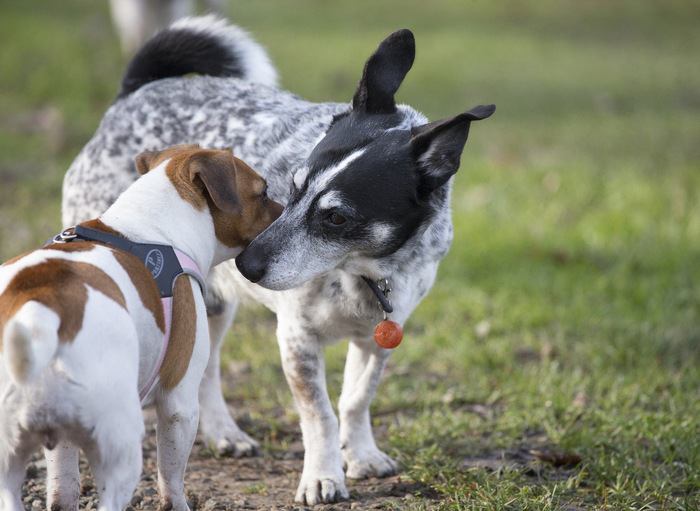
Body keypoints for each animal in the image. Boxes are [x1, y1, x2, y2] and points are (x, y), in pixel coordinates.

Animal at [0, 145, 282, 511]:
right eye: (262, 192)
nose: (288, 213)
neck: (150, 227)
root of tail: (42, 309)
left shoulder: (61, 443)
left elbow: (63, 488)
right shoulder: (179, 402)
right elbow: (171, 477)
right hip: (122, 448)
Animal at [63, 15, 494, 504]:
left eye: (337, 216)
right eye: (292, 185)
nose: (247, 265)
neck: (363, 272)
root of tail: (135, 93)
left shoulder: (379, 338)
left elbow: (356, 399)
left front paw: (362, 456)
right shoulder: (296, 339)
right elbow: (320, 414)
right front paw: (323, 476)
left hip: (210, 306)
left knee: (206, 372)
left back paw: (224, 433)